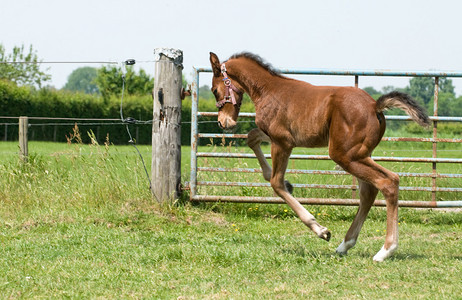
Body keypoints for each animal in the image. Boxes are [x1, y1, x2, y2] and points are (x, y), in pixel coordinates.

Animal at [209, 51, 430, 260]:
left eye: (214, 90)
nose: (223, 122)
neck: (268, 90)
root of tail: (374, 106)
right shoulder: (276, 137)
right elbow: (251, 137)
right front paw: (283, 180)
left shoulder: (282, 142)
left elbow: (276, 183)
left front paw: (321, 230)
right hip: (360, 154)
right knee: (369, 191)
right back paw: (345, 245)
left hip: (345, 155)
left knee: (388, 182)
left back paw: (385, 250)